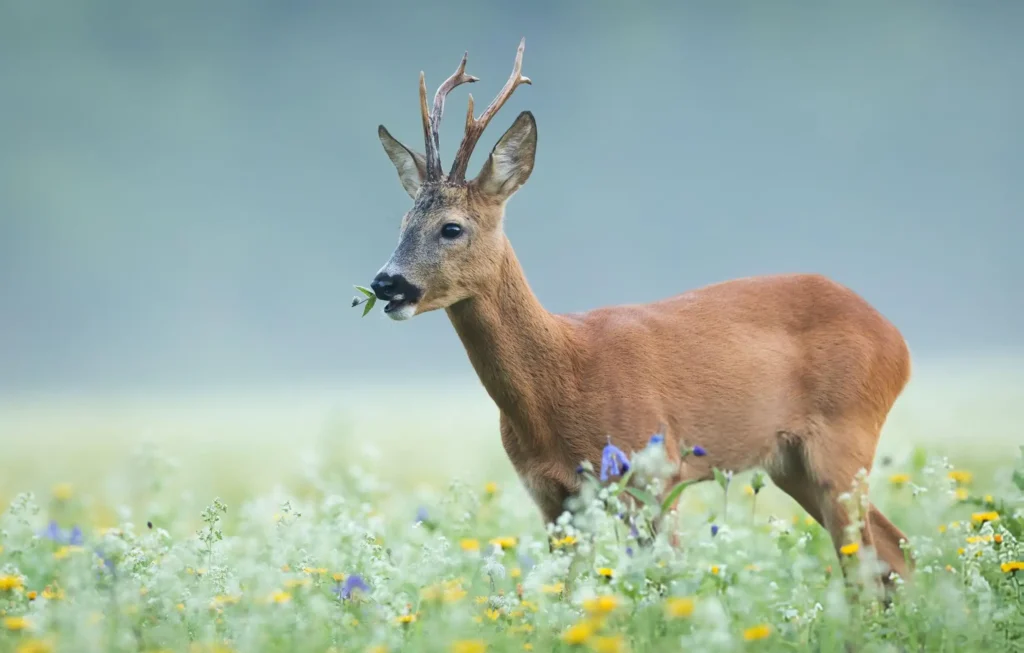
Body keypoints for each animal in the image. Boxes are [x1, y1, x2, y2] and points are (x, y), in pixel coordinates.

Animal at [365, 38, 913, 589]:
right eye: (403, 222)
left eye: (451, 227)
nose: (386, 282)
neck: (561, 380)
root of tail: (897, 340)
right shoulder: (554, 497)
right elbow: (565, 592)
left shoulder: (655, 473)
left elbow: (665, 580)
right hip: (791, 462)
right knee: (894, 553)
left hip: (845, 438)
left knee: (871, 563)